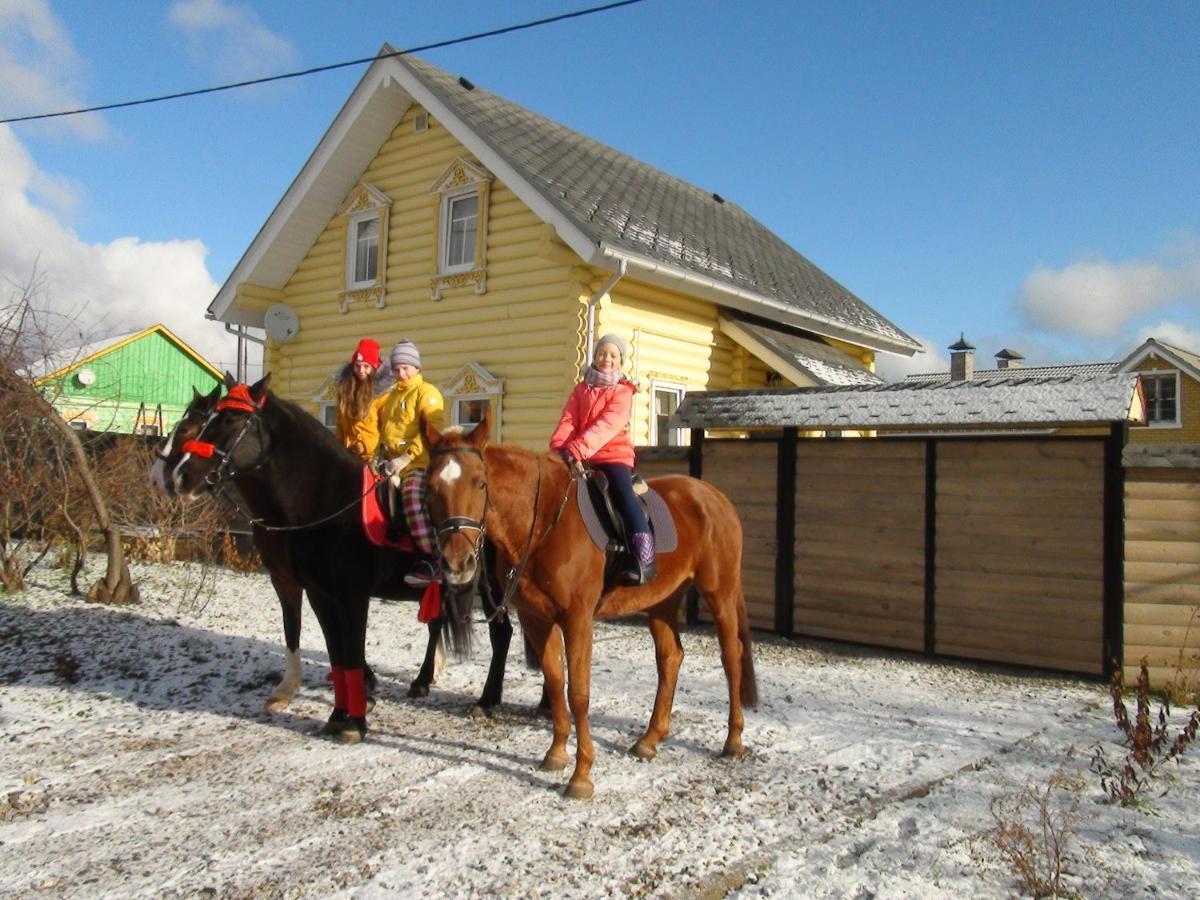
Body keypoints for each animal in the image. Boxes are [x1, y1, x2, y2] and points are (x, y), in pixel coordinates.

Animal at [427, 412, 753, 801]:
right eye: (429, 487)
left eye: (479, 483)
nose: (456, 564)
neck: (543, 522)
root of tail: (714, 497)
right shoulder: (536, 619)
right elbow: (555, 683)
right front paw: (556, 754)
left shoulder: (577, 618)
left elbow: (578, 692)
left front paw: (582, 775)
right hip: (662, 601)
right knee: (670, 658)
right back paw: (650, 739)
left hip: (720, 594)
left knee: (731, 657)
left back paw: (733, 740)